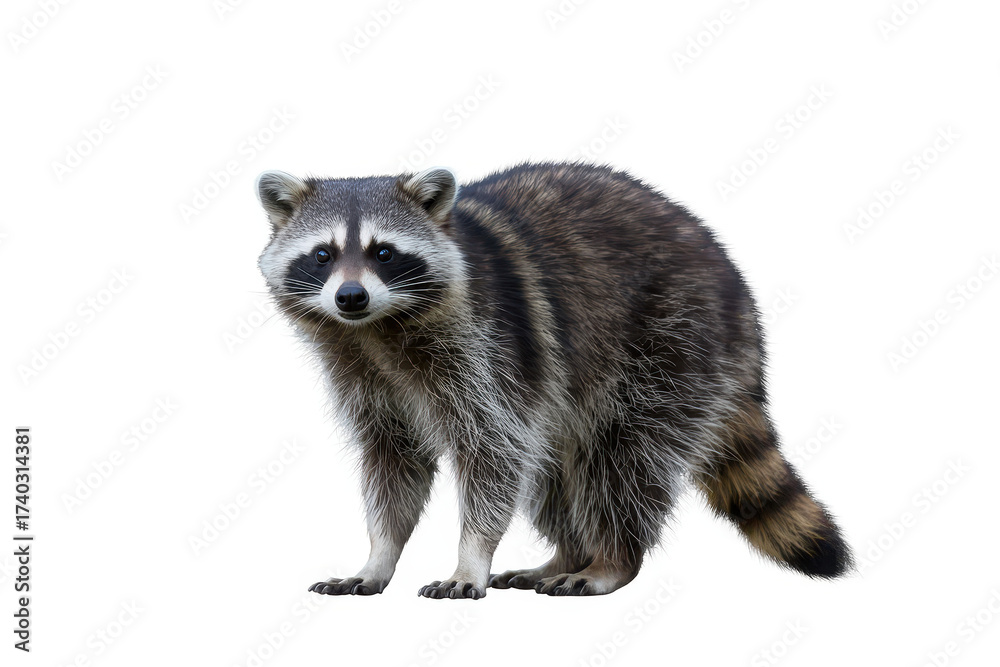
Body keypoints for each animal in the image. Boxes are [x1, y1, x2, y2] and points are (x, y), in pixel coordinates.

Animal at [256, 162, 853, 599]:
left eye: (383, 252)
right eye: (323, 255)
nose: (350, 297)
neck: (376, 331)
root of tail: (733, 282)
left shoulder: (489, 348)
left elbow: (494, 452)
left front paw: (469, 556)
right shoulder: (362, 376)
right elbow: (392, 463)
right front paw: (379, 555)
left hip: (673, 342)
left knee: (622, 458)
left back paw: (611, 557)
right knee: (553, 468)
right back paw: (568, 552)